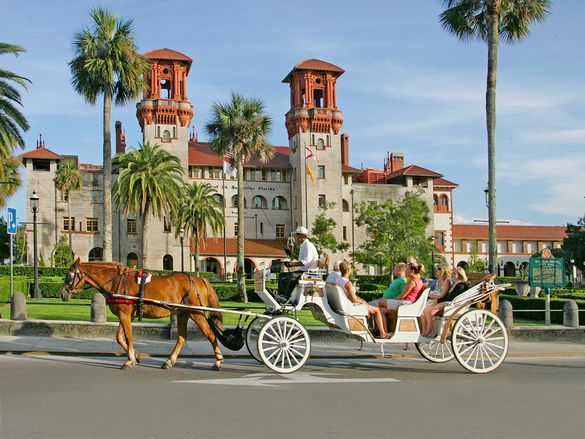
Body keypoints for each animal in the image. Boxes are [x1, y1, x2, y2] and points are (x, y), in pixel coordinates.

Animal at [59, 258, 224, 372]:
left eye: (69, 276)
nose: (62, 293)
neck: (116, 280)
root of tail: (199, 279)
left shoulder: (125, 314)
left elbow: (128, 337)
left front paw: (129, 360)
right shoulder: (126, 315)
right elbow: (119, 337)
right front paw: (136, 355)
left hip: (196, 313)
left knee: (210, 335)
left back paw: (218, 361)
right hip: (183, 313)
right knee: (182, 338)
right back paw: (169, 361)